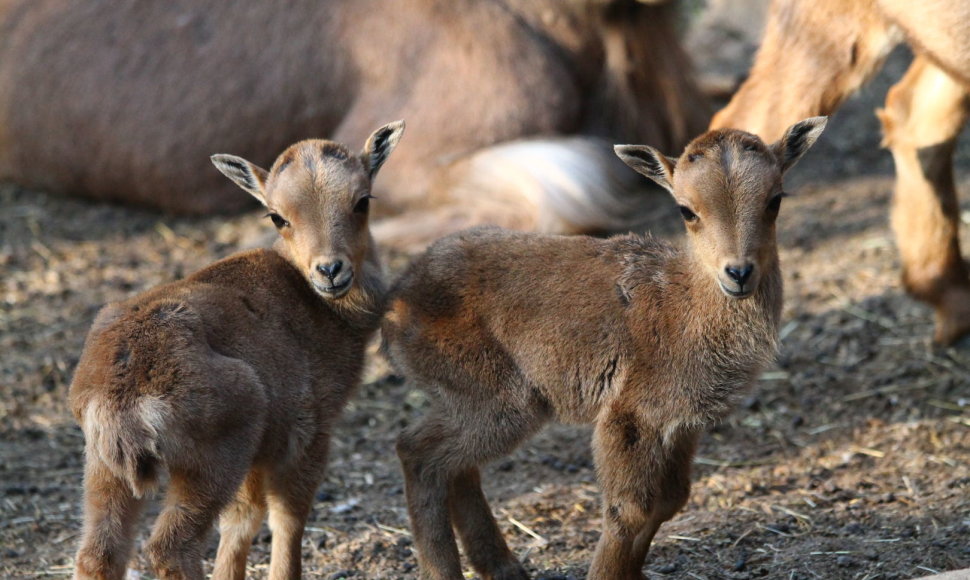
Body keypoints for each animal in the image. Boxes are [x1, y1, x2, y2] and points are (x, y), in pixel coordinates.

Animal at [68, 120, 400, 576]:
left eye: (362, 200)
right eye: (277, 216)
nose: (331, 270)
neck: (321, 309)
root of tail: (123, 399)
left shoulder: (260, 452)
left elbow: (243, 519)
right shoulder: (308, 434)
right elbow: (286, 517)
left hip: (104, 469)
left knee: (98, 553)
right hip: (214, 456)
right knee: (171, 547)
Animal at [378, 115, 824, 576]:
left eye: (775, 200)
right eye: (686, 210)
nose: (738, 272)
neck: (684, 306)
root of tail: (393, 304)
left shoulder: (682, 423)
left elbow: (671, 499)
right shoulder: (629, 412)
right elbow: (629, 508)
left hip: (473, 401)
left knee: (455, 467)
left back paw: (504, 568)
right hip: (494, 396)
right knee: (418, 451)